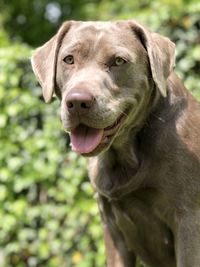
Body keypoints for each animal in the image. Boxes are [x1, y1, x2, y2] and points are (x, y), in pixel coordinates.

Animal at [31, 19, 200, 266]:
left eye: (119, 61)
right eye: (68, 59)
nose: (78, 102)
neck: (124, 154)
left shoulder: (187, 218)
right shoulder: (112, 227)